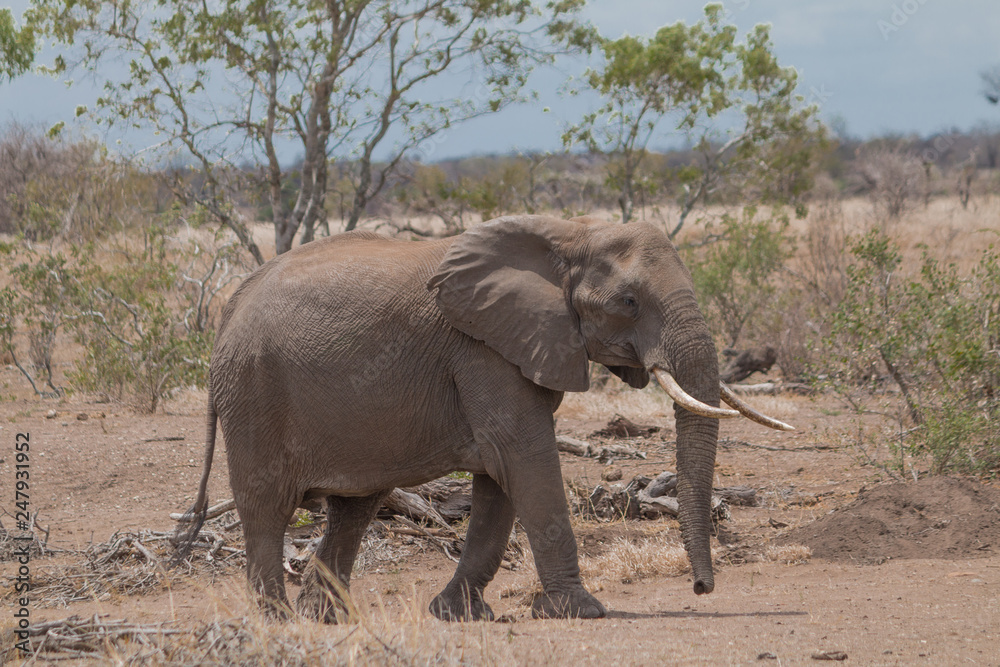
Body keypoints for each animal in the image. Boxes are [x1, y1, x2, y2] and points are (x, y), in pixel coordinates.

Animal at [175, 214, 791, 622]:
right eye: (630, 302)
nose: (702, 588)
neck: (569, 233)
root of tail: (228, 309)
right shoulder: (482, 349)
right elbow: (521, 455)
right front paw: (582, 611)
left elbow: (500, 479)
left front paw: (456, 616)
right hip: (254, 393)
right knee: (267, 508)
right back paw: (276, 622)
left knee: (354, 508)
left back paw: (328, 619)